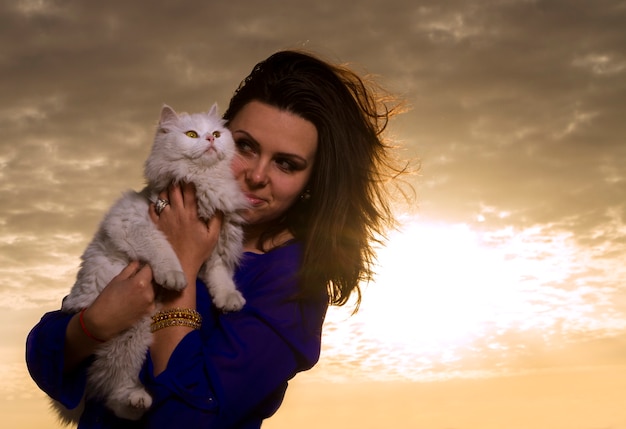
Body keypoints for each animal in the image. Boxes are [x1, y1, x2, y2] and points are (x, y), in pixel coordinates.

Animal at [54, 104, 249, 422]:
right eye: (191, 134)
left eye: (217, 134)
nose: (210, 139)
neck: (203, 183)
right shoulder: (133, 225)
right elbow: (163, 250)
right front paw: (174, 276)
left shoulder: (218, 246)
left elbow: (221, 275)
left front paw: (229, 299)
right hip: (130, 332)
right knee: (110, 386)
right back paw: (136, 400)